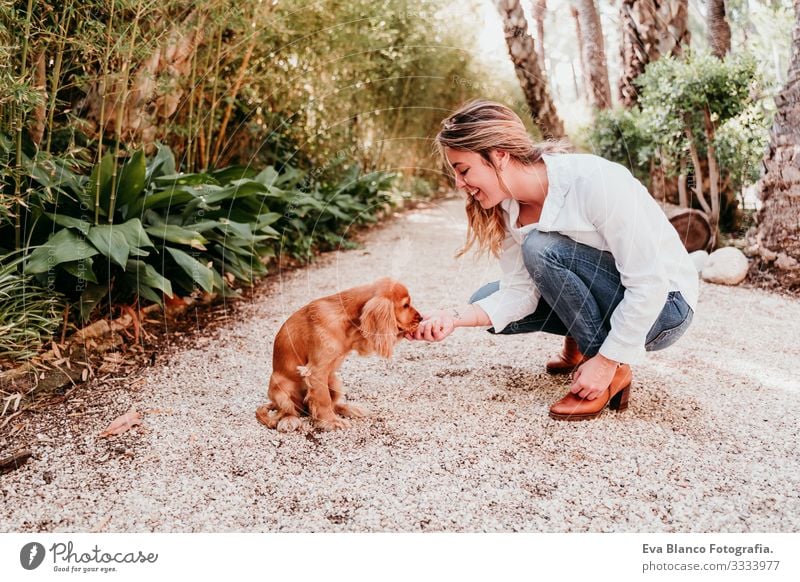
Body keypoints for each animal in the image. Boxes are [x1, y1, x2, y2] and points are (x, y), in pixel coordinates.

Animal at [256, 278, 422, 434]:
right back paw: (289, 420)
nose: (420, 318)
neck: (345, 316)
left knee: (334, 404)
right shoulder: (316, 371)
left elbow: (327, 401)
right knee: (287, 410)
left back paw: (351, 409)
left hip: (334, 381)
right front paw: (331, 422)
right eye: (405, 305)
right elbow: (323, 400)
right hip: (281, 388)